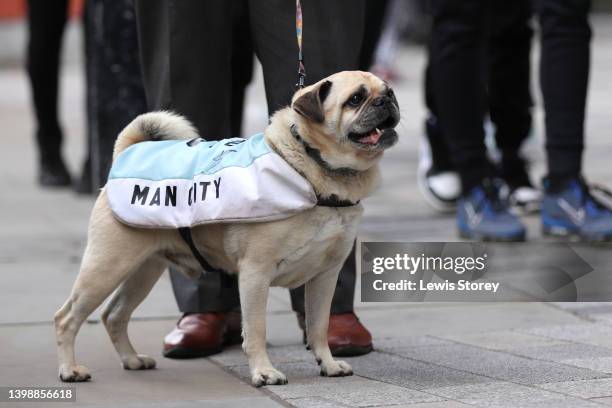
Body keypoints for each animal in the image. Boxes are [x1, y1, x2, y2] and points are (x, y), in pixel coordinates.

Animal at [55, 70, 400, 386]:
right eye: (355, 99)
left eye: (388, 91)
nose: (387, 100)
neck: (315, 168)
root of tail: (127, 153)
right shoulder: (255, 273)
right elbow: (256, 330)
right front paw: (264, 372)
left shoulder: (325, 275)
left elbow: (318, 326)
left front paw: (327, 364)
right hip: (107, 265)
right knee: (67, 318)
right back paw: (70, 370)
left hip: (144, 269)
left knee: (114, 315)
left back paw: (131, 359)